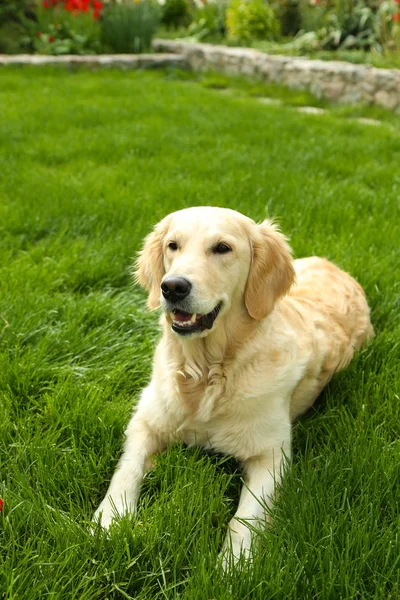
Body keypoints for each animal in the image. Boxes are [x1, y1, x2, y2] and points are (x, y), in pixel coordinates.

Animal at [94, 205, 376, 564]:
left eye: (222, 248)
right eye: (173, 245)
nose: (172, 287)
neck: (207, 374)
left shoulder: (271, 455)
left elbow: (246, 517)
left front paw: (233, 565)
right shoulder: (145, 422)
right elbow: (125, 472)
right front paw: (108, 522)